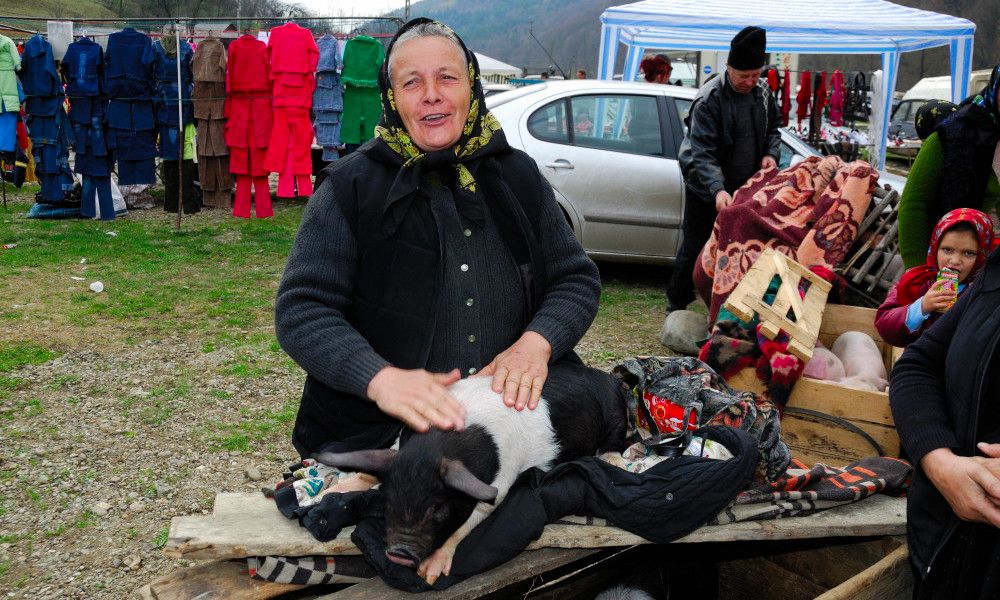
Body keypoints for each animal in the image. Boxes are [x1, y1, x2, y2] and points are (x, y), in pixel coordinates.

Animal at [314, 364, 624, 584]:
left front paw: (428, 574)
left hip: (615, 421)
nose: (399, 554)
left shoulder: (503, 476)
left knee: (616, 443)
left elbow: (479, 513)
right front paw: (326, 495)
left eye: (438, 509)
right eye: (388, 501)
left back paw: (615, 462)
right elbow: (373, 471)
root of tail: (609, 379)